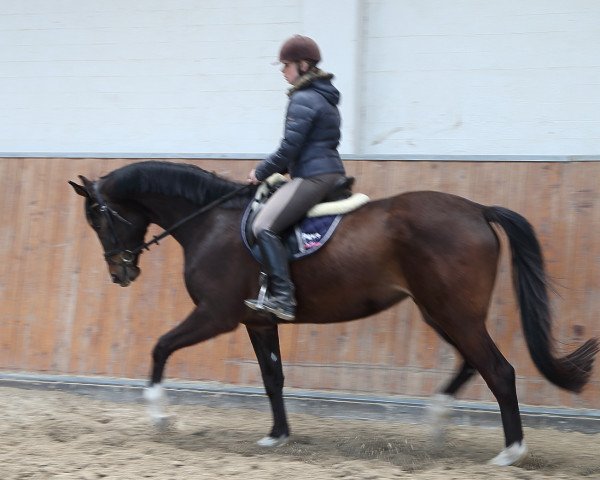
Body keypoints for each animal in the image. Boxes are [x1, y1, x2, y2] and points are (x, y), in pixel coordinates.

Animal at [69, 160, 596, 464]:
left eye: (97, 217)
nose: (120, 273)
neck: (211, 221)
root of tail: (477, 209)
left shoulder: (216, 316)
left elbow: (160, 347)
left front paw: (159, 415)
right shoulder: (257, 320)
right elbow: (273, 378)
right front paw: (277, 436)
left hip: (452, 312)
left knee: (499, 370)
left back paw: (510, 453)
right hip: (442, 312)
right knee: (474, 363)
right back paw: (437, 422)